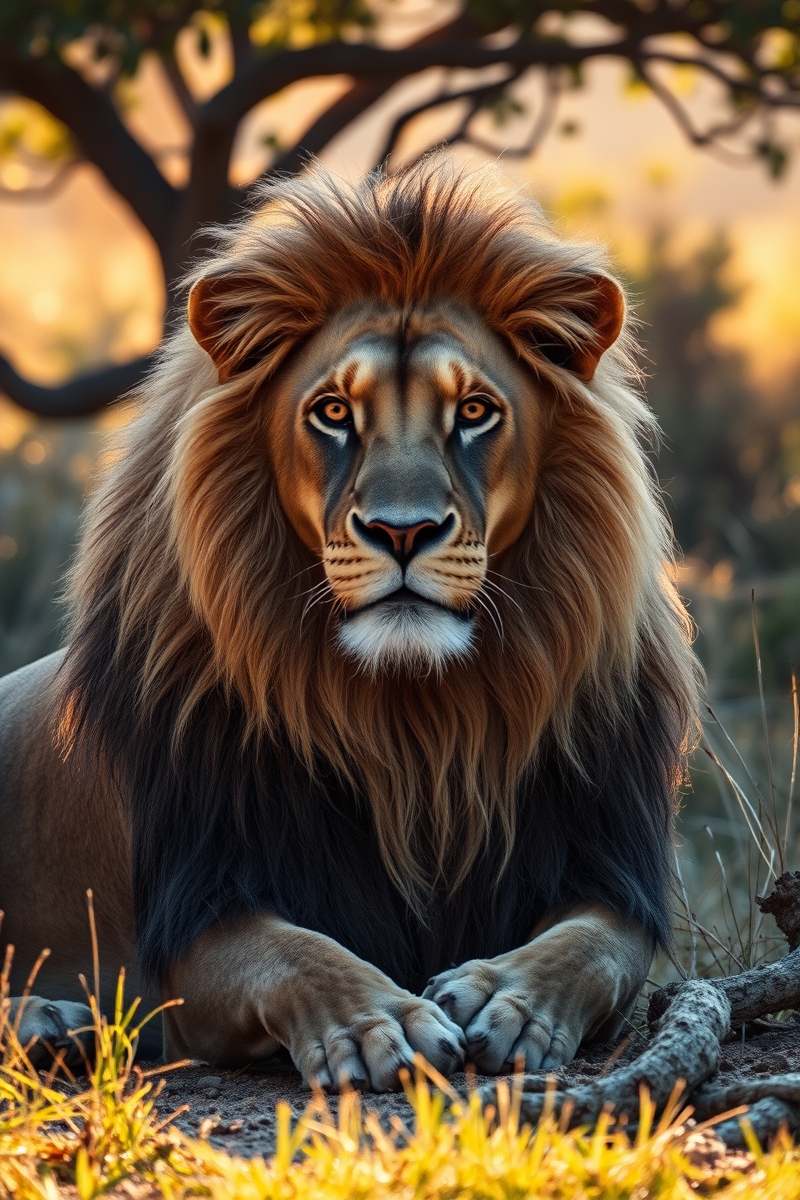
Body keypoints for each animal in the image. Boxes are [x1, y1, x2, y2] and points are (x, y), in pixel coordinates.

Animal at [0, 158, 700, 1089]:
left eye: (474, 411)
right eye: (333, 411)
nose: (404, 531)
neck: (413, 723)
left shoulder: (607, 867)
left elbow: (592, 947)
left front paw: (507, 999)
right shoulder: (198, 914)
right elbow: (300, 954)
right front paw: (382, 1021)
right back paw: (46, 1018)